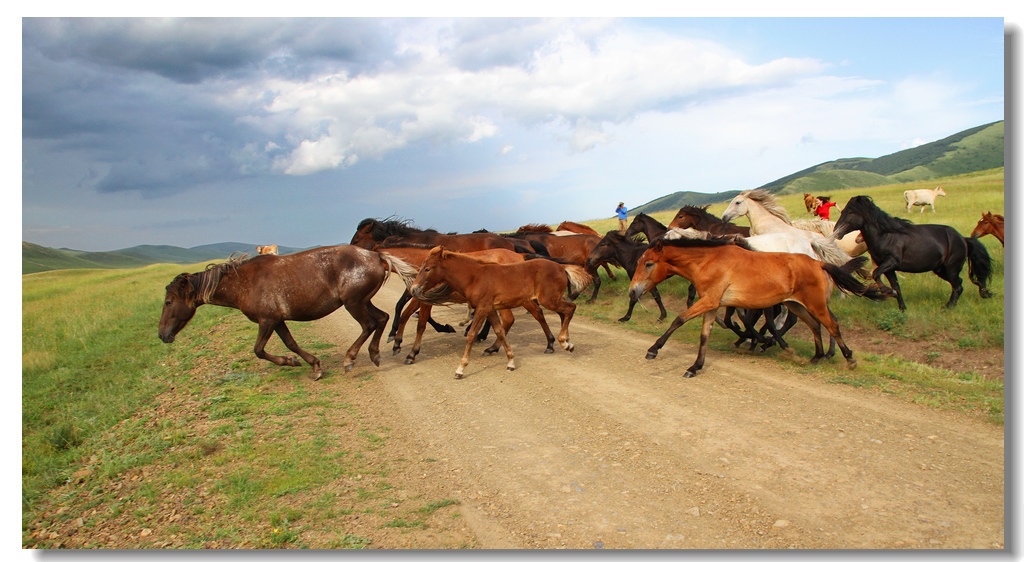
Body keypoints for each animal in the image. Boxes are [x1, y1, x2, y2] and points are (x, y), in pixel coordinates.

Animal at [155, 244, 403, 378]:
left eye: (168, 302)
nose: (162, 335)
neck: (244, 282)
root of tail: (375, 256)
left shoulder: (267, 320)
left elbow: (258, 350)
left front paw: (291, 362)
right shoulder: (277, 320)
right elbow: (290, 343)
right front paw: (312, 365)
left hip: (354, 303)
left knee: (369, 324)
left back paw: (349, 360)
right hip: (362, 301)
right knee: (382, 318)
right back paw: (374, 355)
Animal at [626, 236, 892, 376]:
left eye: (649, 264)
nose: (633, 291)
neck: (709, 262)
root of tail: (819, 263)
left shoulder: (708, 301)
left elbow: (678, 319)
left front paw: (653, 350)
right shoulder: (712, 305)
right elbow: (704, 336)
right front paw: (695, 366)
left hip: (814, 304)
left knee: (832, 325)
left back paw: (848, 359)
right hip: (796, 305)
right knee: (815, 326)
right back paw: (814, 358)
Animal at [831, 195, 991, 311]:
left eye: (851, 212)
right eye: (843, 211)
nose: (836, 232)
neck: (886, 235)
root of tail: (963, 239)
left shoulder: (891, 261)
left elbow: (876, 274)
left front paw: (888, 293)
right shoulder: (889, 268)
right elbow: (895, 286)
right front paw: (902, 308)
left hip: (950, 268)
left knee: (958, 286)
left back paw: (948, 307)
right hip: (941, 269)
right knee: (959, 284)